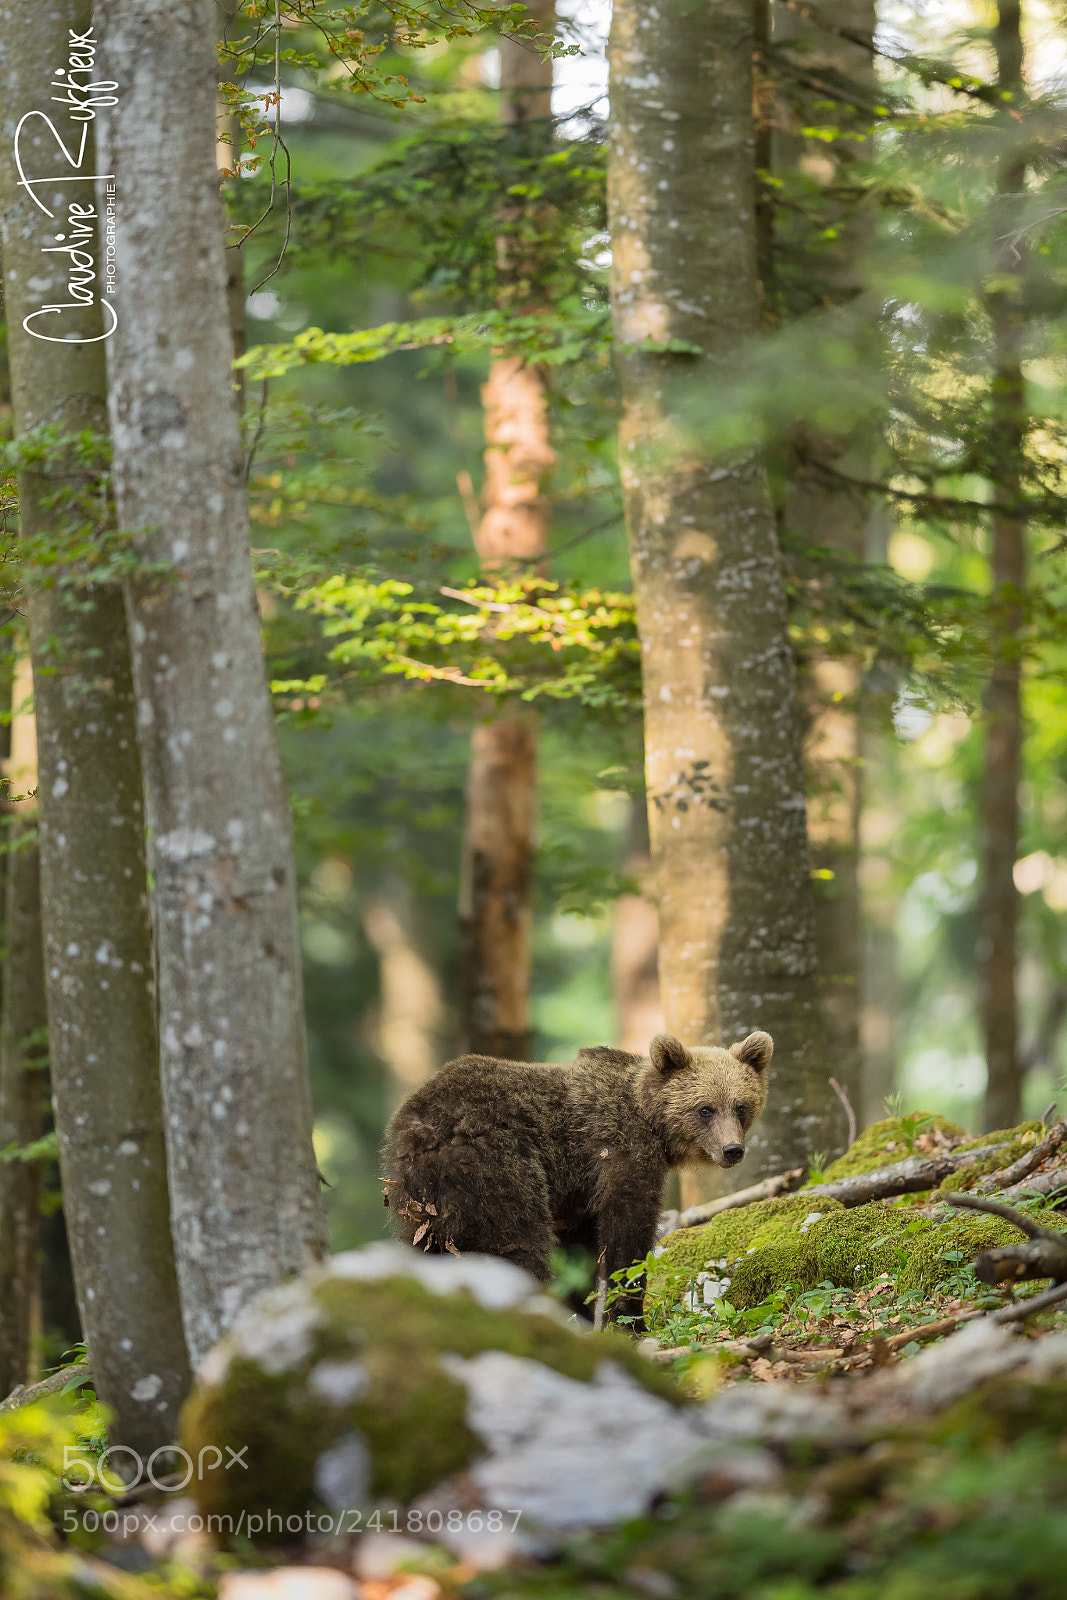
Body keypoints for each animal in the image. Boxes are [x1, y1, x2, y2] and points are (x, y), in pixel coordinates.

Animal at [382, 1029, 772, 1327]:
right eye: (705, 1109)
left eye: (740, 1106)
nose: (732, 1150)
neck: (650, 1121)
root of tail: (421, 1128)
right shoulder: (617, 1150)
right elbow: (627, 1230)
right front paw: (628, 1321)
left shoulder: (577, 1194)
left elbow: (579, 1253)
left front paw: (584, 1313)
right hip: (496, 1167)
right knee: (514, 1241)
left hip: (418, 1198)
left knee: (427, 1245)